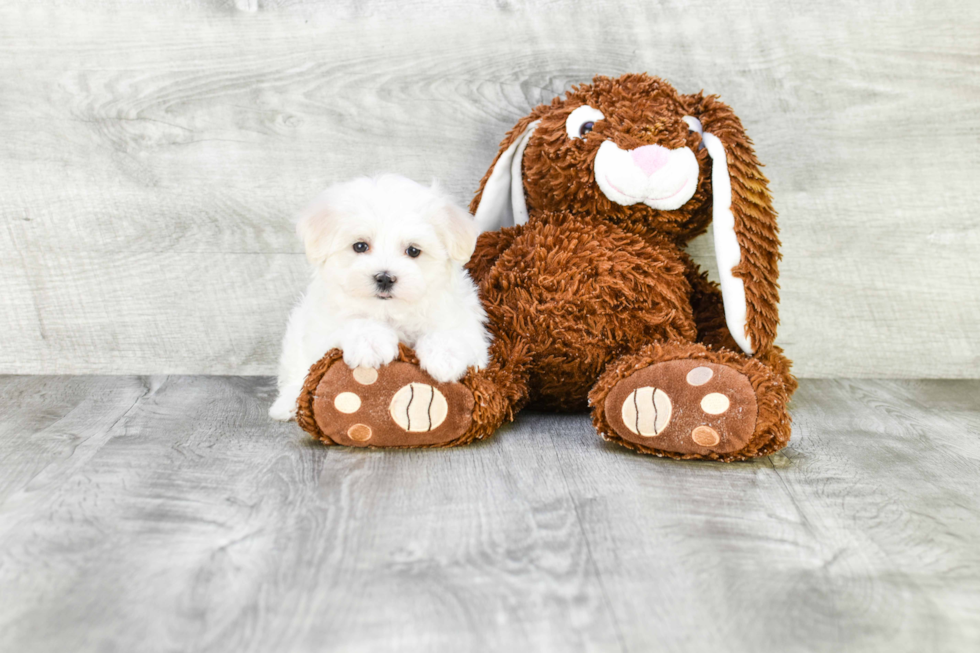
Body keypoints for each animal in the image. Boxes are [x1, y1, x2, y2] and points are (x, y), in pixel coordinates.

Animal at [268, 173, 490, 420]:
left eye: (413, 251)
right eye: (360, 246)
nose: (384, 278)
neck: (389, 313)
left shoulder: (465, 322)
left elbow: (454, 333)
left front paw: (445, 358)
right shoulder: (321, 327)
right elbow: (351, 322)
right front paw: (371, 344)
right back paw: (287, 403)